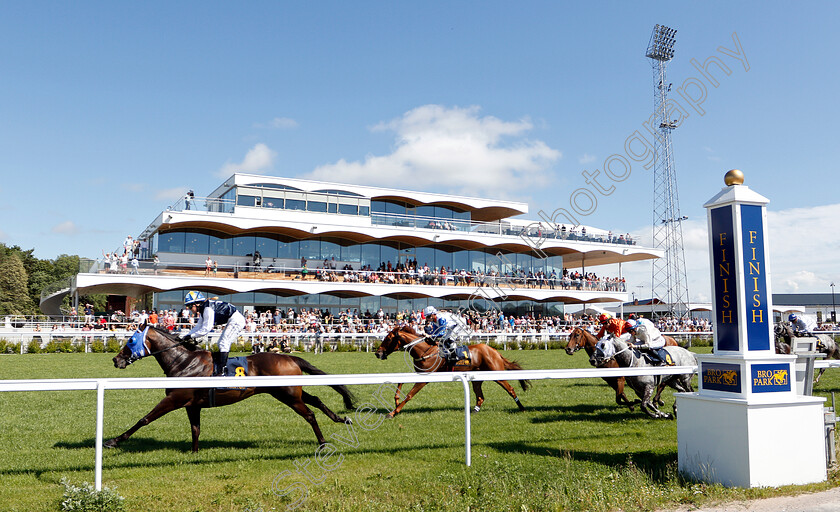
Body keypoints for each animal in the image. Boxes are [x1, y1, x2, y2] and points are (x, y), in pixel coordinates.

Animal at [107, 326, 354, 450]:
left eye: (130, 341)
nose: (116, 360)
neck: (183, 362)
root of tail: (290, 357)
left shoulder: (175, 400)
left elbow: (144, 419)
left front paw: (113, 441)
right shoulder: (192, 405)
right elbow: (195, 429)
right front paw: (194, 453)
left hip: (288, 395)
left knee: (310, 413)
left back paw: (323, 442)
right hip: (289, 392)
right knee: (316, 400)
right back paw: (341, 419)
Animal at [376, 326, 532, 418]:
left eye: (388, 338)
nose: (378, 353)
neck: (425, 350)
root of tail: (494, 351)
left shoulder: (424, 378)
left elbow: (409, 395)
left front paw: (393, 412)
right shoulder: (419, 373)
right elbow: (401, 381)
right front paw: (396, 400)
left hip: (497, 375)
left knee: (510, 389)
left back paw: (522, 408)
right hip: (477, 378)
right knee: (480, 397)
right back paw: (474, 411)